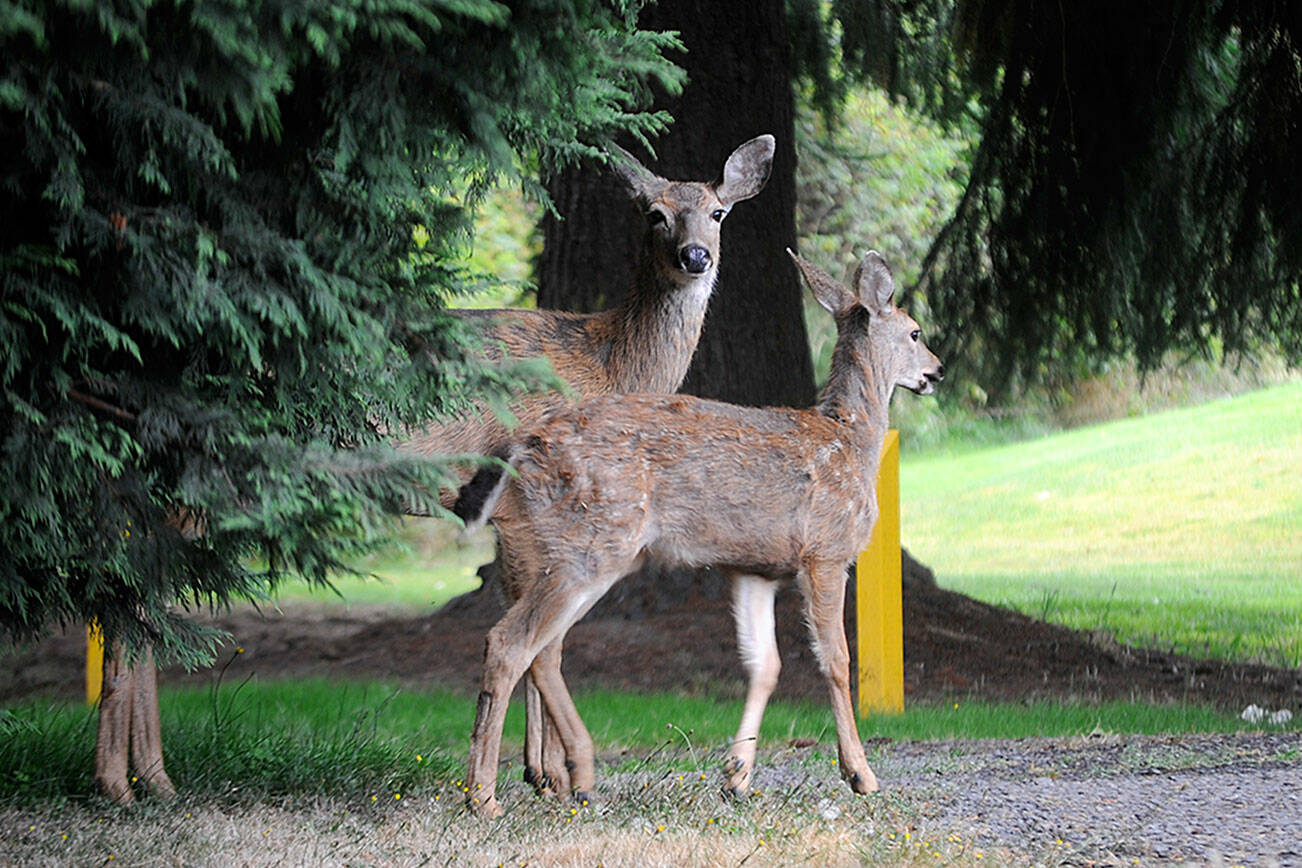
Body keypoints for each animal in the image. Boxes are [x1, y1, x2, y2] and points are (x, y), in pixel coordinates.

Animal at [403, 134, 770, 801]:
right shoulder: (528, 506)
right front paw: (549, 772)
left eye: (718, 211)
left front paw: (537, 770)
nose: (695, 255)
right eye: (654, 213)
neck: (609, 364)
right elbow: (542, 636)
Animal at [453, 247, 942, 817]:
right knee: (510, 643)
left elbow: (764, 665)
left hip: (571, 550)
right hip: (591, 542)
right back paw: (485, 797)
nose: (937, 370)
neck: (852, 440)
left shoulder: (755, 568)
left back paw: (574, 775)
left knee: (544, 650)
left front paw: (737, 776)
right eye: (914, 331)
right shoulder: (826, 552)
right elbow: (837, 661)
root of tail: (520, 454)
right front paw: (860, 774)